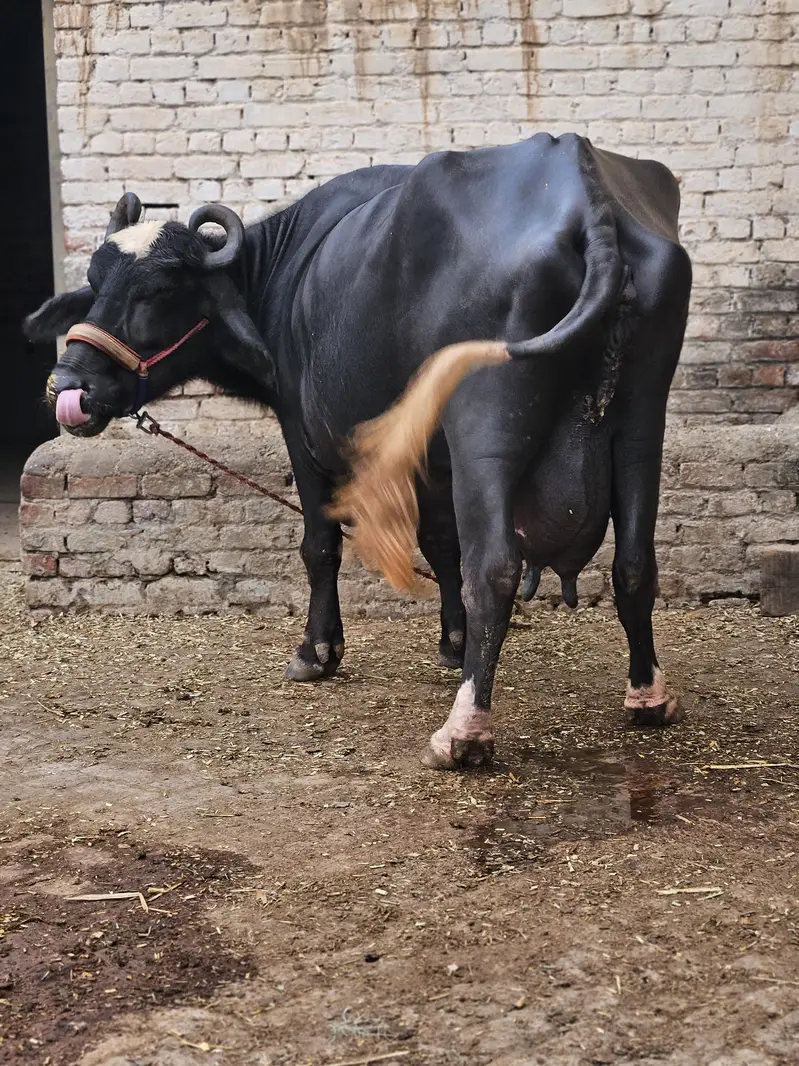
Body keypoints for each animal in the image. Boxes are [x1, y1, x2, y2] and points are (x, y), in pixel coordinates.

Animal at [25, 132, 692, 770]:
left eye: (159, 290)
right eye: (95, 283)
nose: (69, 385)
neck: (284, 276)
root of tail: (587, 207)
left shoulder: (303, 433)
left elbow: (321, 545)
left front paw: (316, 651)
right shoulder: (432, 456)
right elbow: (440, 543)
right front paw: (451, 642)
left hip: (486, 426)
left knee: (495, 567)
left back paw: (463, 732)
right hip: (641, 421)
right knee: (634, 560)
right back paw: (647, 696)